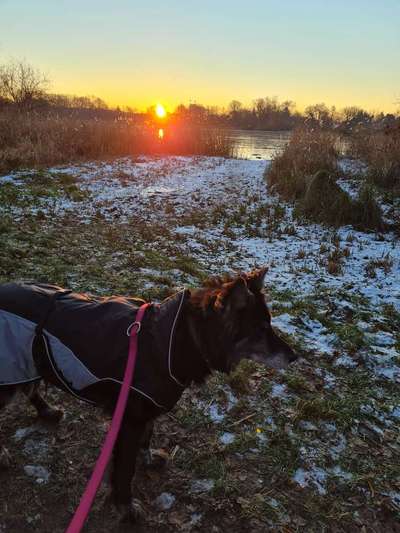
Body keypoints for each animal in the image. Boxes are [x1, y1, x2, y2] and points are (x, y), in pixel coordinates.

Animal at [0, 266, 296, 520]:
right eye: (260, 330)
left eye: (270, 324)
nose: (295, 357)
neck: (178, 339)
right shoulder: (129, 420)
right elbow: (124, 469)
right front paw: (125, 507)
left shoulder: (146, 409)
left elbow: (148, 437)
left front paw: (150, 460)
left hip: (30, 362)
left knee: (30, 387)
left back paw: (47, 411)